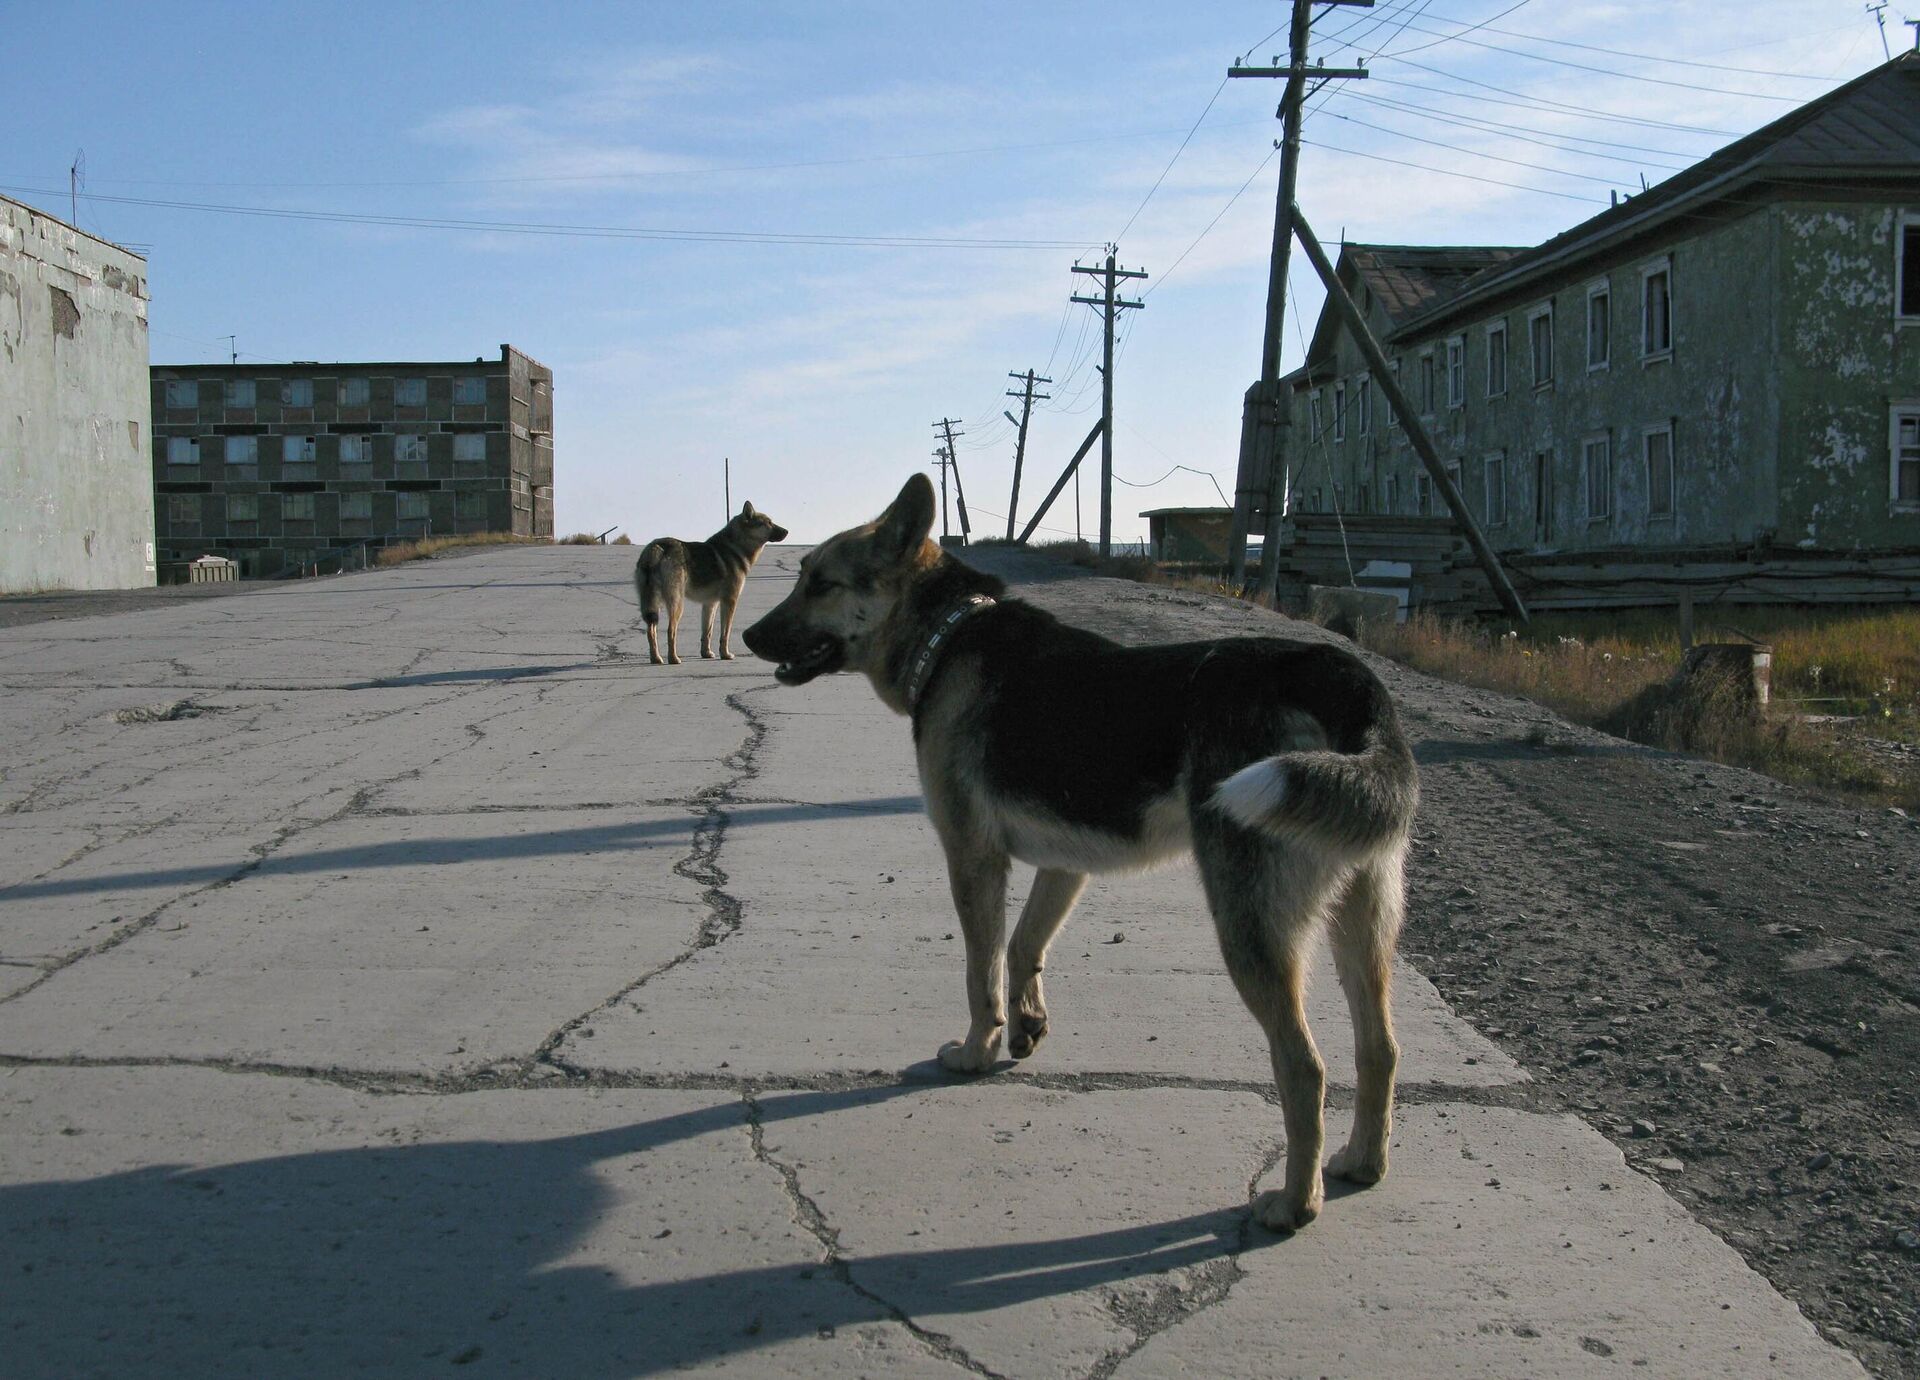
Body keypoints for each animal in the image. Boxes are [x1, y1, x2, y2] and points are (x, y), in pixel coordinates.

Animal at [629, 502, 779, 667]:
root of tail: (656, 547)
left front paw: (706, 654)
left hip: (655, 605)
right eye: (768, 523)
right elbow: (725, 633)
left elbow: (707, 632)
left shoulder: (710, 603)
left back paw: (656, 659)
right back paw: (674, 659)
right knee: (670, 631)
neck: (736, 548)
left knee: (651, 631)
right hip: (677, 605)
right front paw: (725, 655)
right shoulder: (729, 601)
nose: (787, 531)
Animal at [741, 475, 1420, 1228]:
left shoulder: (973, 858)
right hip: (1363, 922)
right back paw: (1363, 1162)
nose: (746, 635)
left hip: (1252, 929)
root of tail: (1343, 674)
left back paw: (1294, 1205)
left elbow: (980, 973)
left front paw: (976, 1052)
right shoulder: (1064, 863)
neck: (947, 634)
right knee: (1379, 1048)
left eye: (821, 583)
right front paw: (1027, 1026)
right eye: (802, 577)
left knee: (1304, 1067)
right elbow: (1023, 947)